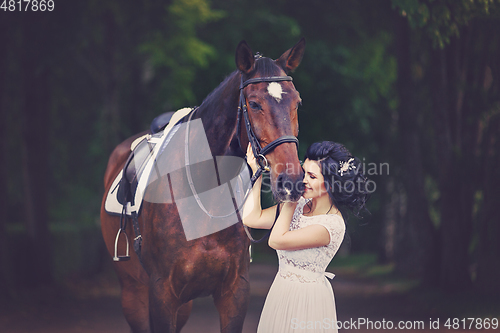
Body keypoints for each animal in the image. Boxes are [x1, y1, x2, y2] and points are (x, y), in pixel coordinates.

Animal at [99, 37, 304, 330]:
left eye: (297, 103)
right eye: (254, 104)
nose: (291, 180)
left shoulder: (234, 292)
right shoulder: (162, 294)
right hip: (133, 293)